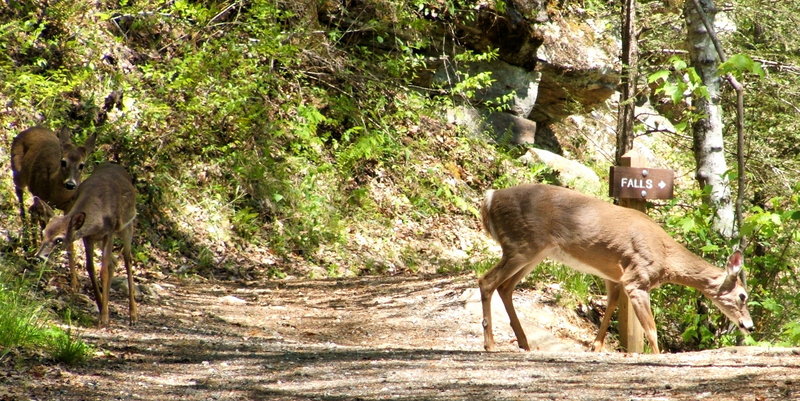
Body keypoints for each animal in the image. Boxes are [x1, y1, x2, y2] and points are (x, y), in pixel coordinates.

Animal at [10, 125, 97, 288]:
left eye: (82, 165)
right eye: (63, 162)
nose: (70, 184)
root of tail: (32, 128)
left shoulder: (69, 206)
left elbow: (69, 242)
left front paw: (74, 282)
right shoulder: (40, 195)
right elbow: (41, 222)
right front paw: (38, 255)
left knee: (33, 212)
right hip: (18, 172)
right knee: (23, 202)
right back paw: (27, 243)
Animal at [34, 162, 139, 324]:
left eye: (59, 239)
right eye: (43, 232)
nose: (38, 256)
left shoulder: (109, 233)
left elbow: (103, 271)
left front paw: (104, 318)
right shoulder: (88, 237)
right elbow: (90, 268)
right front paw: (101, 306)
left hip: (127, 226)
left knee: (127, 259)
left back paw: (133, 315)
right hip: (101, 240)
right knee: (114, 261)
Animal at [478, 184, 752, 354]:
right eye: (743, 295)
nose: (749, 326)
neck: (666, 259)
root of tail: (489, 198)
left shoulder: (614, 275)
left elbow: (610, 306)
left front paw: (595, 346)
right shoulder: (637, 278)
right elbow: (651, 329)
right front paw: (657, 356)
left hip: (534, 252)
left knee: (505, 287)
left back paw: (524, 343)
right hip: (522, 245)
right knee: (487, 281)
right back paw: (490, 344)